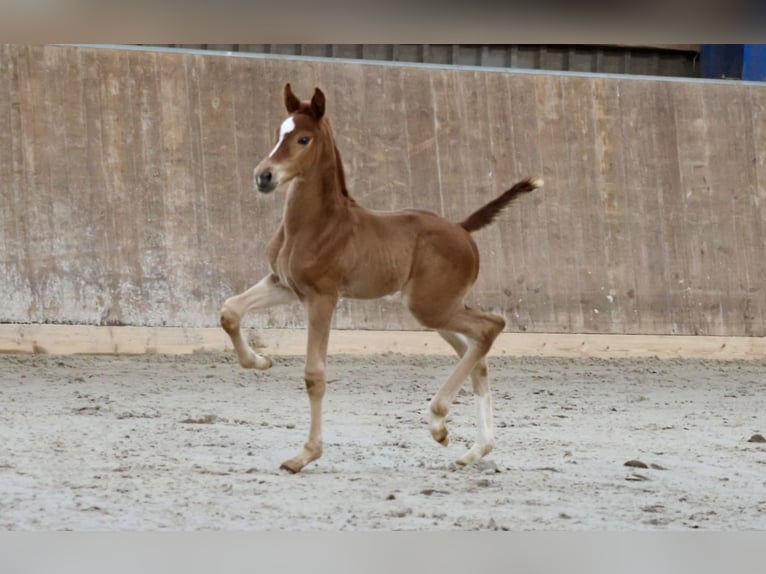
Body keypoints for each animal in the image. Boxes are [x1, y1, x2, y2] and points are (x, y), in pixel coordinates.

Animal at [222, 84, 544, 472]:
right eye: (277, 133)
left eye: (303, 139)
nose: (263, 176)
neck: (317, 224)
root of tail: (462, 228)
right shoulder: (283, 284)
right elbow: (230, 311)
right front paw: (259, 361)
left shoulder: (322, 297)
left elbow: (315, 374)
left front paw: (305, 455)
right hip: (437, 309)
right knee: (477, 352)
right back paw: (469, 447)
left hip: (432, 307)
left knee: (491, 327)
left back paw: (439, 418)